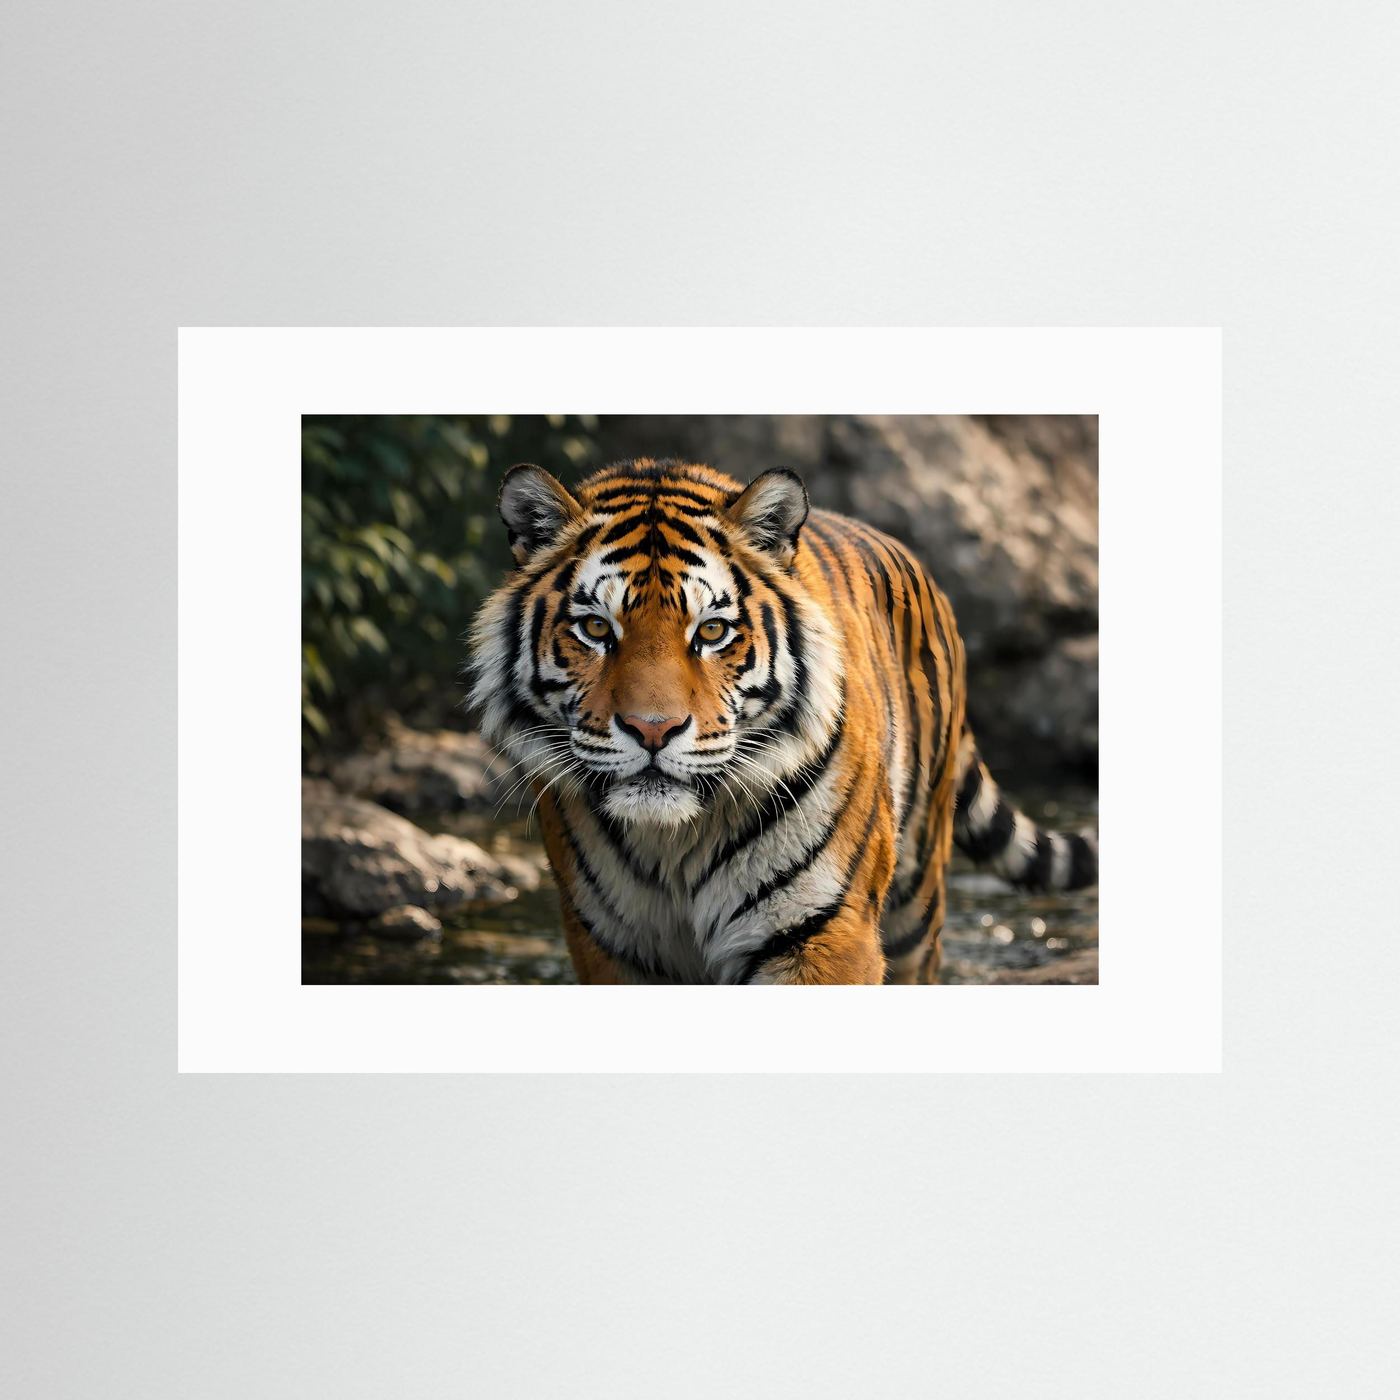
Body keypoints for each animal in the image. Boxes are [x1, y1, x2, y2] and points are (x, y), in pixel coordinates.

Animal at [467, 457, 1097, 984]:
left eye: (711, 631)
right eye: (597, 628)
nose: (652, 730)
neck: (673, 843)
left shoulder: (822, 931)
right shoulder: (608, 943)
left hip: (918, 903)